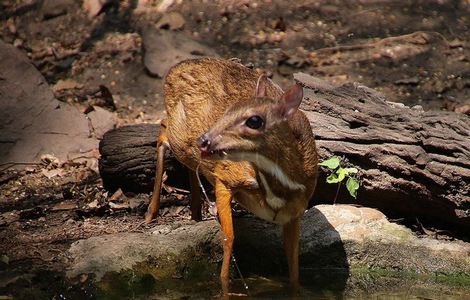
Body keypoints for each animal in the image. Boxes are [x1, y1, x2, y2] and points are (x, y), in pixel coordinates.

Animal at [145, 57, 318, 294]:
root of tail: (175, 68)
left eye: (254, 120)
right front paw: (226, 287)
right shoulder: (225, 177)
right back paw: (150, 215)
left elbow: (293, 261)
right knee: (162, 129)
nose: (204, 140)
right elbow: (229, 237)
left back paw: (195, 212)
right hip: (181, 137)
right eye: (229, 111)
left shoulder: (296, 212)